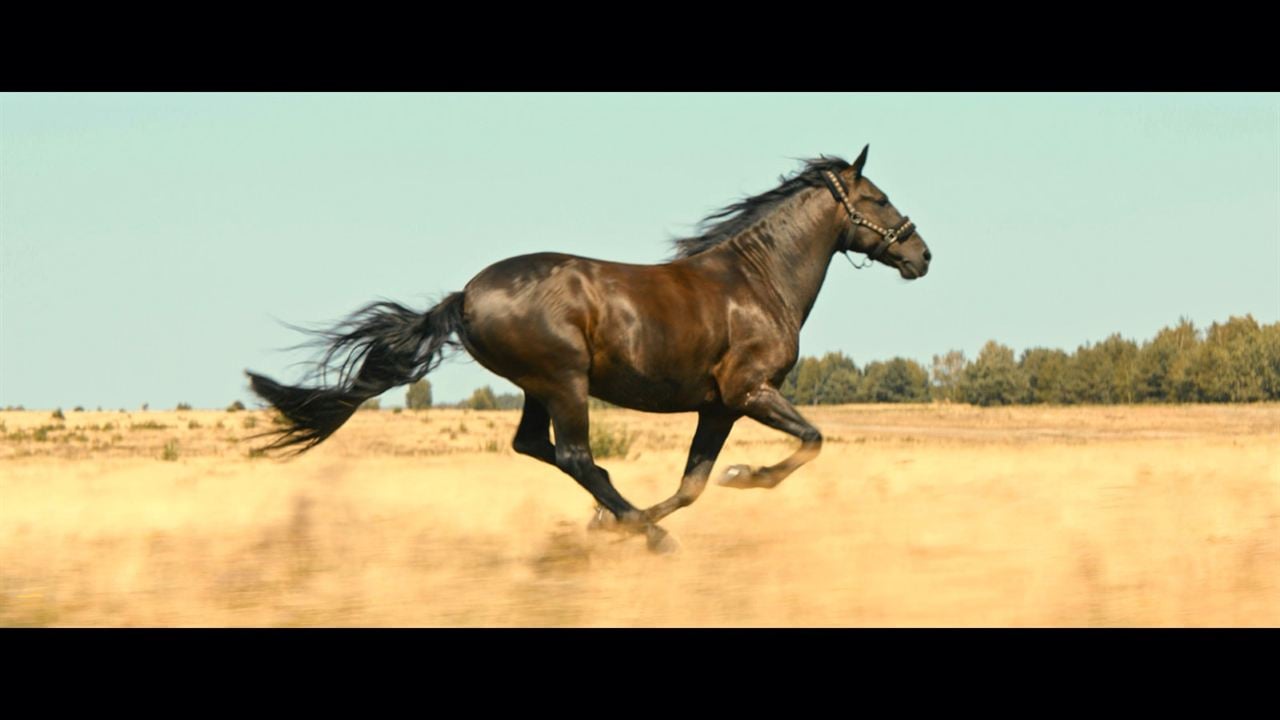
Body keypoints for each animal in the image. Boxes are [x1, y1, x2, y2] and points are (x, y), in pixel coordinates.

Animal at [247, 144, 931, 548]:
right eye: (877, 198)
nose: (921, 255)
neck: (756, 281)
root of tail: (465, 297)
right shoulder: (748, 393)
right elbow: (810, 441)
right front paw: (742, 477)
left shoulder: (717, 407)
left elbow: (692, 486)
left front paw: (632, 518)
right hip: (564, 382)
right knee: (574, 455)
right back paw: (637, 531)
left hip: (538, 388)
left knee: (536, 447)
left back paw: (619, 518)